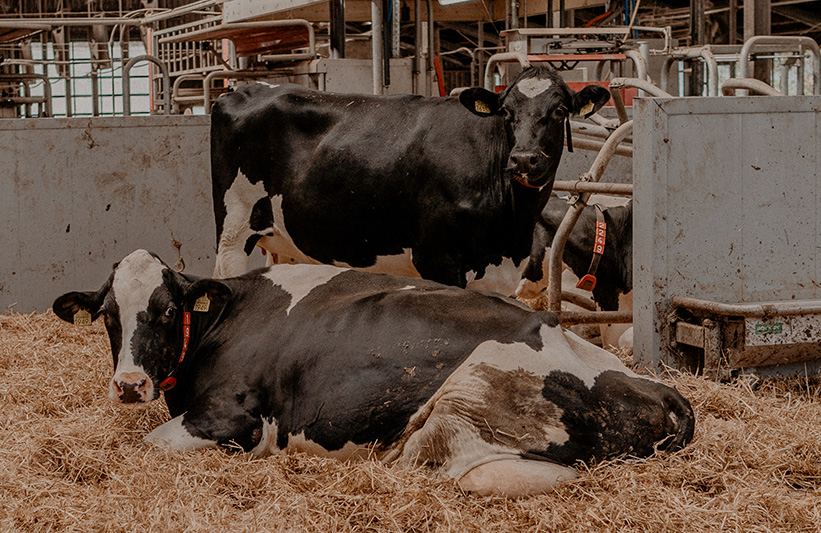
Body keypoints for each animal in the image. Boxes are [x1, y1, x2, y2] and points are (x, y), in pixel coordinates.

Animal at [51, 249, 692, 498]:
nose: (129, 385)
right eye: (108, 315)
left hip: (466, 411)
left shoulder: (238, 420)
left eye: (166, 310)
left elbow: (147, 444)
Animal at [211, 66, 608, 296]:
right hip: (234, 231)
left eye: (559, 110)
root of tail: (242, 89)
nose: (524, 158)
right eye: (507, 112)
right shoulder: (437, 260)